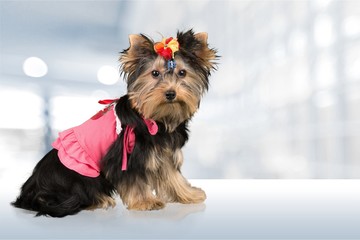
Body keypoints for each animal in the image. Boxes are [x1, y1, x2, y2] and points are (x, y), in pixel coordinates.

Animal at [11, 29, 217, 217]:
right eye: (155, 73)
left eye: (182, 73)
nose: (170, 93)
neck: (158, 118)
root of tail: (30, 193)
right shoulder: (126, 155)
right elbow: (133, 179)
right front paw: (145, 202)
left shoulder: (162, 152)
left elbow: (173, 176)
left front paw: (189, 194)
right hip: (79, 175)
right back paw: (100, 199)